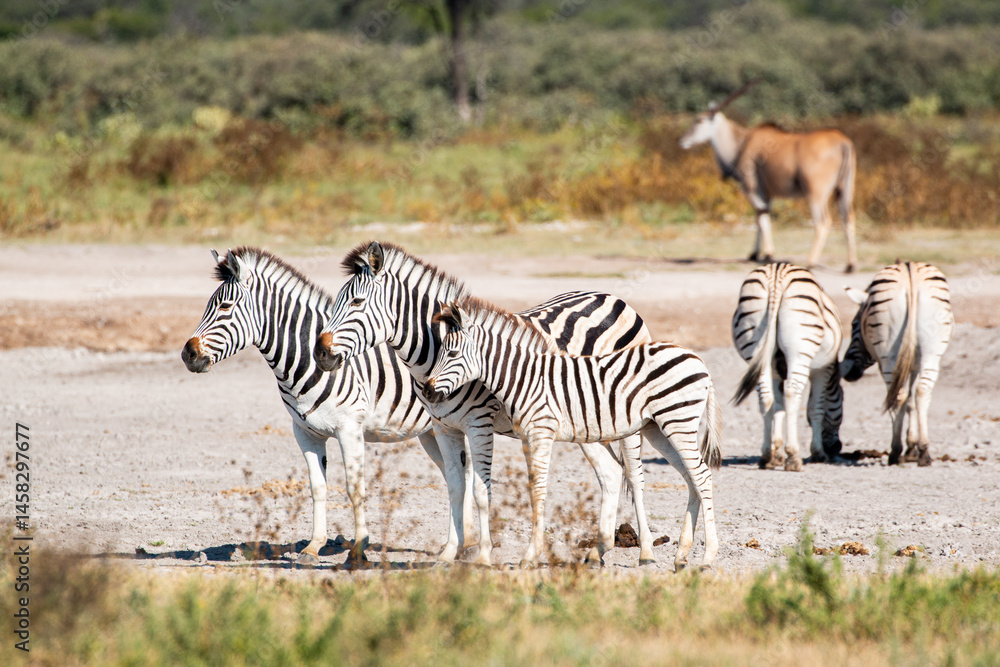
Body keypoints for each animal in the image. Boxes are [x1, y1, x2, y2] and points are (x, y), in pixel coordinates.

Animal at [181, 247, 445, 565]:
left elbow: (355, 487)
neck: (303, 360)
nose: (187, 354)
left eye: (225, 307)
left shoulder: (349, 428)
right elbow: (317, 487)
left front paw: (358, 549)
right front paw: (313, 546)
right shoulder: (305, 431)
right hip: (431, 433)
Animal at [313, 241, 656, 567]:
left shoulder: (480, 424)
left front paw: (483, 555)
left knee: (635, 476)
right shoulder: (443, 427)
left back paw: (646, 552)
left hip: (629, 417)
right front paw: (448, 554)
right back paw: (598, 550)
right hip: (588, 422)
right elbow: (455, 487)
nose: (320, 353)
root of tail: (613, 297)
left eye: (356, 303)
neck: (432, 354)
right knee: (611, 473)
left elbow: (480, 490)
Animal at [423, 298, 723, 571]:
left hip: (677, 422)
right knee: (692, 477)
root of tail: (697, 360)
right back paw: (681, 555)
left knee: (702, 475)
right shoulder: (527, 436)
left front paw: (530, 555)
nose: (426, 390)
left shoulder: (540, 431)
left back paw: (707, 558)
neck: (525, 378)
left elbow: (537, 490)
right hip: (658, 428)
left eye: (451, 354)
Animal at [731, 263, 844, 471]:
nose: (836, 449)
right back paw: (793, 457)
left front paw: (776, 453)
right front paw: (818, 452)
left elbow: (777, 406)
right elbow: (815, 408)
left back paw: (766, 456)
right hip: (800, 349)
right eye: (840, 402)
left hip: (756, 347)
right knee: (792, 393)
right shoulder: (823, 370)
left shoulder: (776, 371)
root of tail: (776, 275)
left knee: (765, 397)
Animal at [841, 261, 954, 466]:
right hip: (932, 353)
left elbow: (901, 400)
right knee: (922, 392)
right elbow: (911, 401)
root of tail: (910, 274)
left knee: (897, 396)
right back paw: (924, 451)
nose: (847, 372)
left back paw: (895, 452)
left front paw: (907, 448)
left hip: (889, 355)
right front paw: (913, 447)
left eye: (854, 325)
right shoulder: (914, 365)